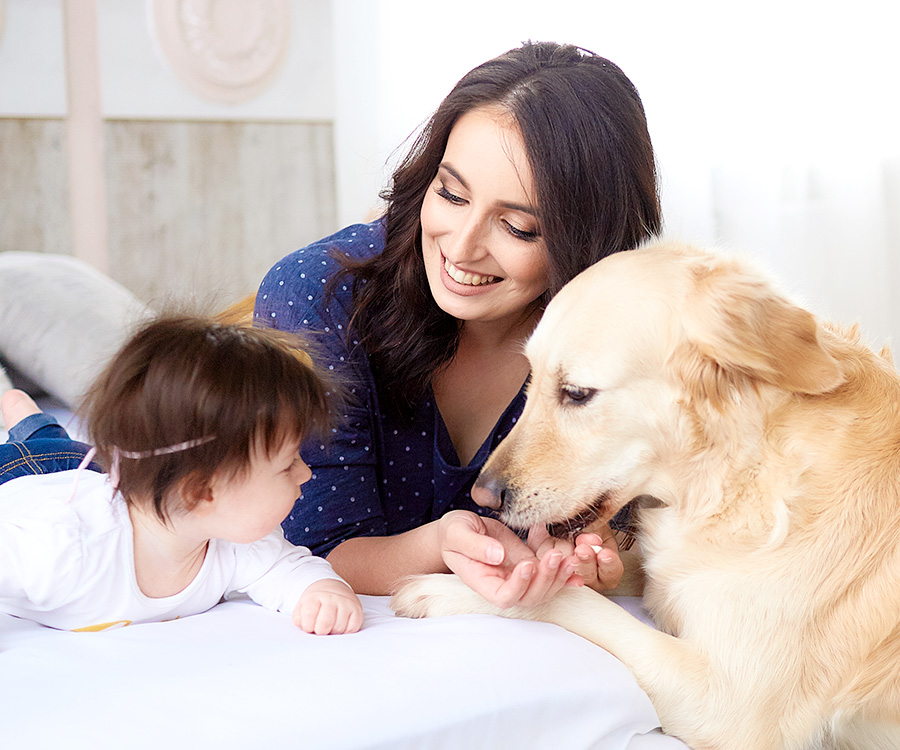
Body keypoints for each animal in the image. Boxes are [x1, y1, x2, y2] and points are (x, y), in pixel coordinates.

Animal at [392, 241, 900, 750]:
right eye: (530, 378)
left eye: (576, 393)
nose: (482, 496)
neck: (734, 469)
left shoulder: (724, 705)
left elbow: (570, 601)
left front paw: (443, 588)